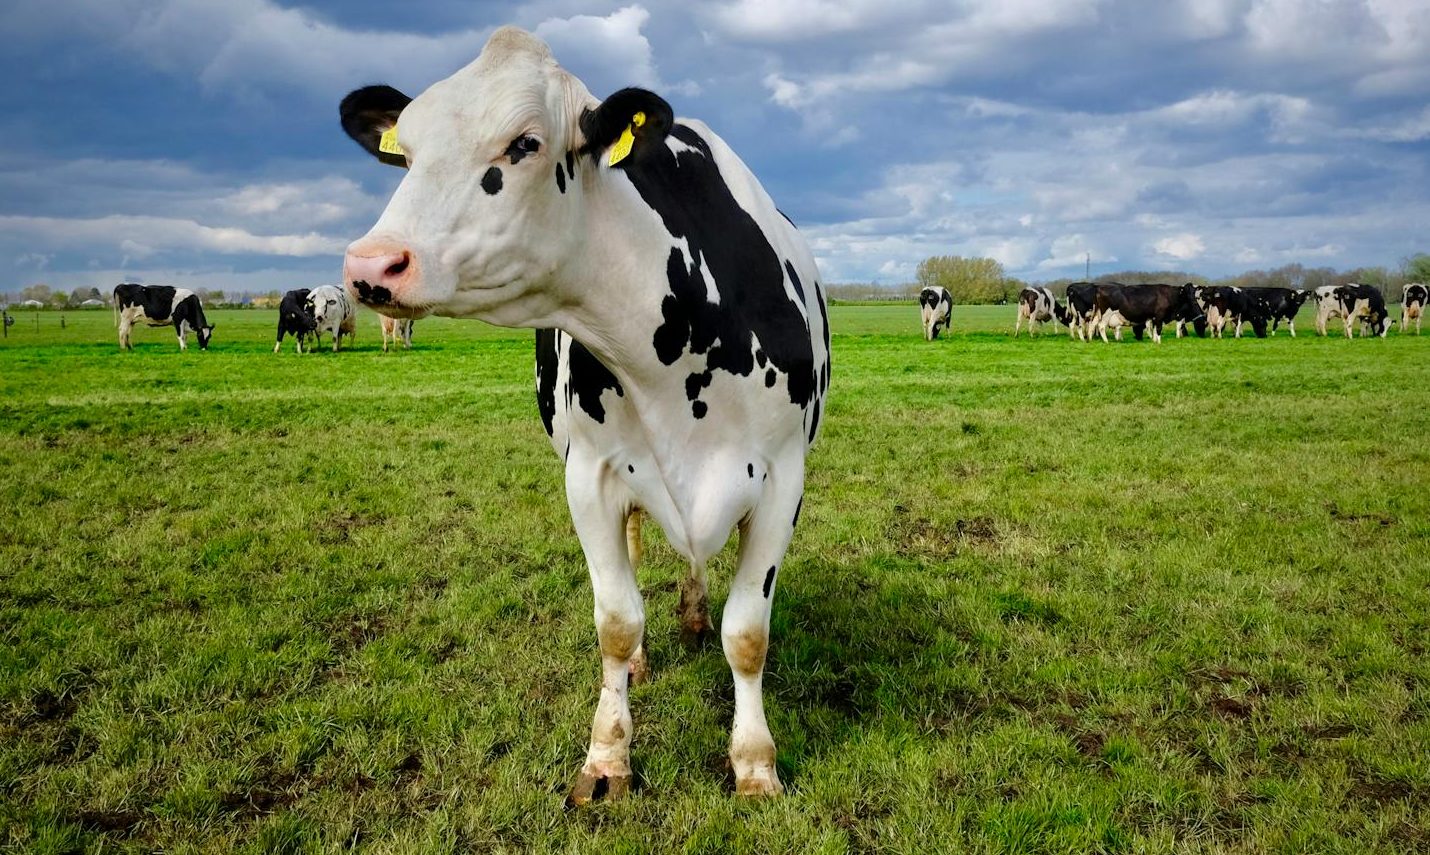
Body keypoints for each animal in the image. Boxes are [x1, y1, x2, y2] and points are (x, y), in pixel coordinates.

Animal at [338, 27, 830, 801]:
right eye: (406, 151)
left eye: (524, 144)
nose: (371, 265)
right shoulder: (590, 478)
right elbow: (617, 622)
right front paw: (607, 759)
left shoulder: (783, 479)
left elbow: (747, 632)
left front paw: (755, 763)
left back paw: (693, 615)